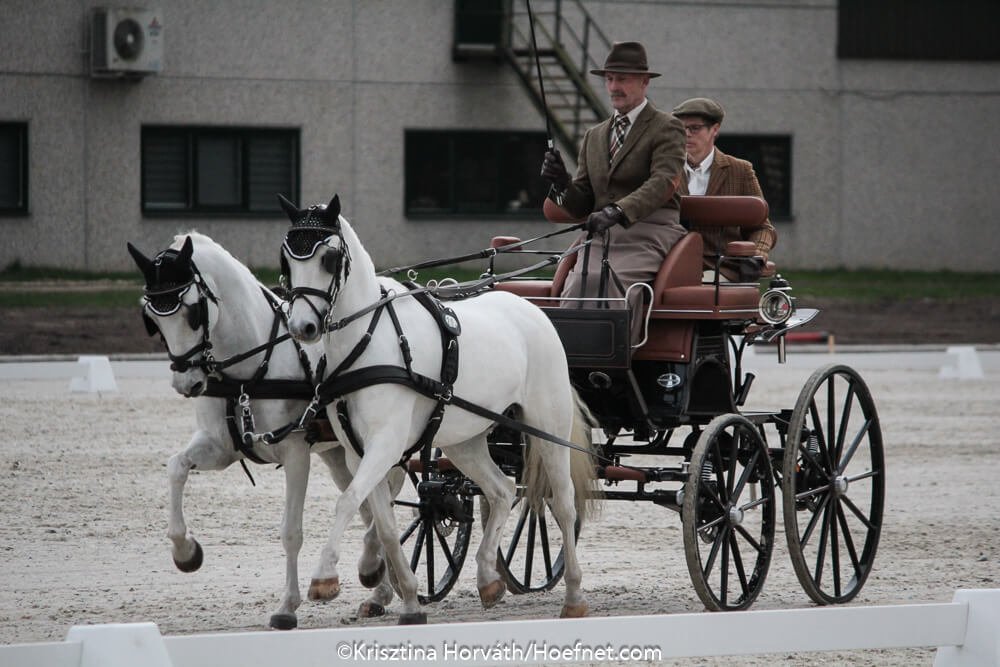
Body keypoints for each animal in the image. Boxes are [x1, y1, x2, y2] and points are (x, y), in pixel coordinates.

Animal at [127, 232, 401, 630]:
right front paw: (186, 551)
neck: (251, 367)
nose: (186, 383)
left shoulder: (296, 452)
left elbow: (291, 531)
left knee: (386, 497)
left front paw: (287, 606)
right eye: (152, 319)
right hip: (339, 455)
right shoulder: (219, 446)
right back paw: (380, 589)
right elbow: (176, 466)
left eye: (193, 312)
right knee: (370, 507)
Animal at [278, 193, 600, 623]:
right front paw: (399, 591)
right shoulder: (358, 451)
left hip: (548, 427)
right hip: (466, 440)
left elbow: (348, 501)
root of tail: (533, 310)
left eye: (328, 258)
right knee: (501, 490)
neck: (368, 341)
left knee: (562, 502)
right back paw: (488, 578)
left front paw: (325, 577)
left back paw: (574, 596)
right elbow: (382, 522)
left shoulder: (385, 444)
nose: (303, 328)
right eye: (286, 260)